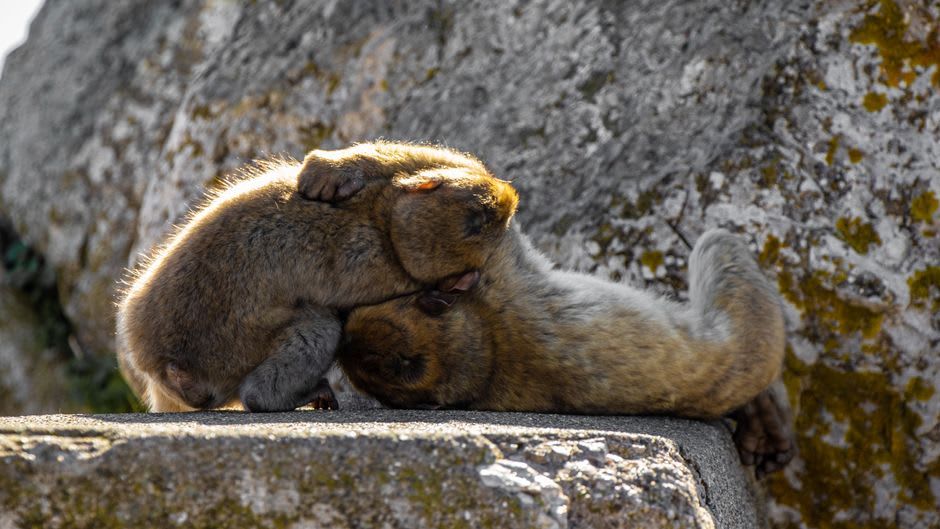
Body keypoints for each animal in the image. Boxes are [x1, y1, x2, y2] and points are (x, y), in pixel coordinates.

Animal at [116, 141, 519, 413]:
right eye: (490, 217)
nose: (511, 196)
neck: (387, 229)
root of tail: (164, 367)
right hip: (225, 361)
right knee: (321, 326)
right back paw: (269, 397)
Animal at [338, 226, 795, 473]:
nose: (345, 332)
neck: (485, 345)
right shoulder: (504, 281)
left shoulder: (500, 284)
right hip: (752, 325)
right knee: (718, 243)